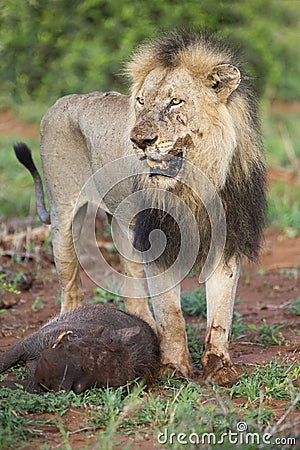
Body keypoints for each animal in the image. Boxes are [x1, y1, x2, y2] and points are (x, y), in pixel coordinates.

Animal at [15, 30, 266, 386]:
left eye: (176, 102)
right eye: (141, 102)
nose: (138, 140)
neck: (195, 181)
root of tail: (61, 101)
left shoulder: (227, 241)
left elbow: (220, 315)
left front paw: (219, 368)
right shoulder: (157, 241)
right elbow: (171, 314)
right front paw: (174, 368)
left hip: (124, 225)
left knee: (132, 285)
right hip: (64, 217)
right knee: (70, 287)